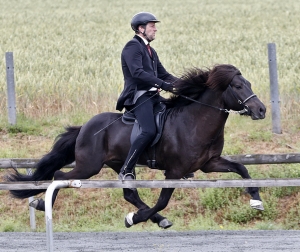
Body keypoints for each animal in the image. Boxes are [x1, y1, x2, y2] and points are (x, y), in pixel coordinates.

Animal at [6, 64, 264, 228]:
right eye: (238, 87)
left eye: (250, 83)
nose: (261, 110)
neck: (195, 121)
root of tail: (85, 126)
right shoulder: (175, 171)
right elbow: (163, 201)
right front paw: (134, 219)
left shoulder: (210, 163)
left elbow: (242, 169)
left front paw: (256, 200)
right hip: (89, 166)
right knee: (60, 175)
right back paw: (42, 204)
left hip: (118, 164)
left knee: (129, 192)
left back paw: (156, 219)